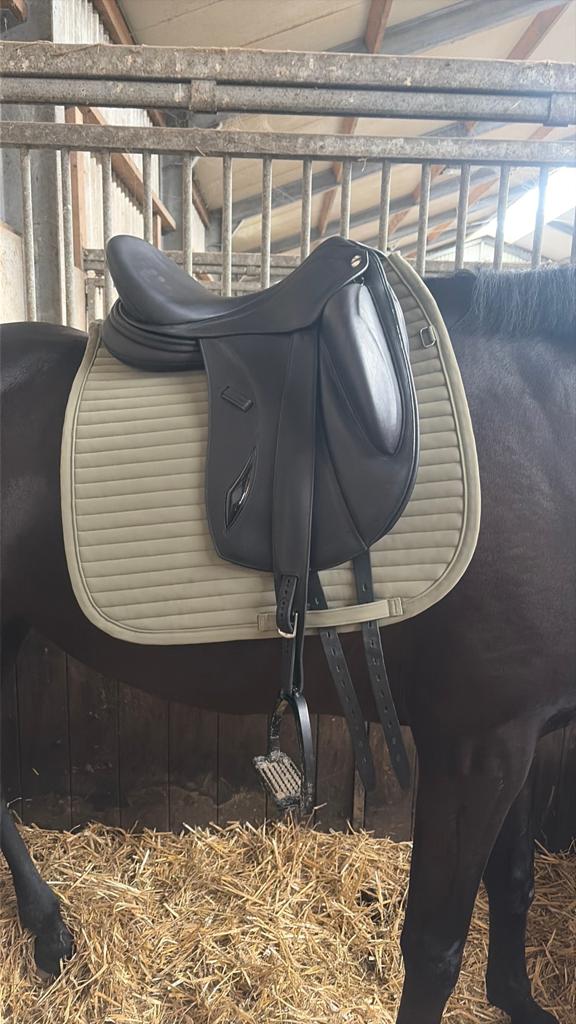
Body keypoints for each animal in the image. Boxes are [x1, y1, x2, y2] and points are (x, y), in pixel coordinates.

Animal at [1, 263, 574, 1024]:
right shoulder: (477, 744)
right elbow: (434, 948)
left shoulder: (520, 736)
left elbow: (514, 881)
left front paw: (516, 997)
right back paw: (49, 932)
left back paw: (48, 932)